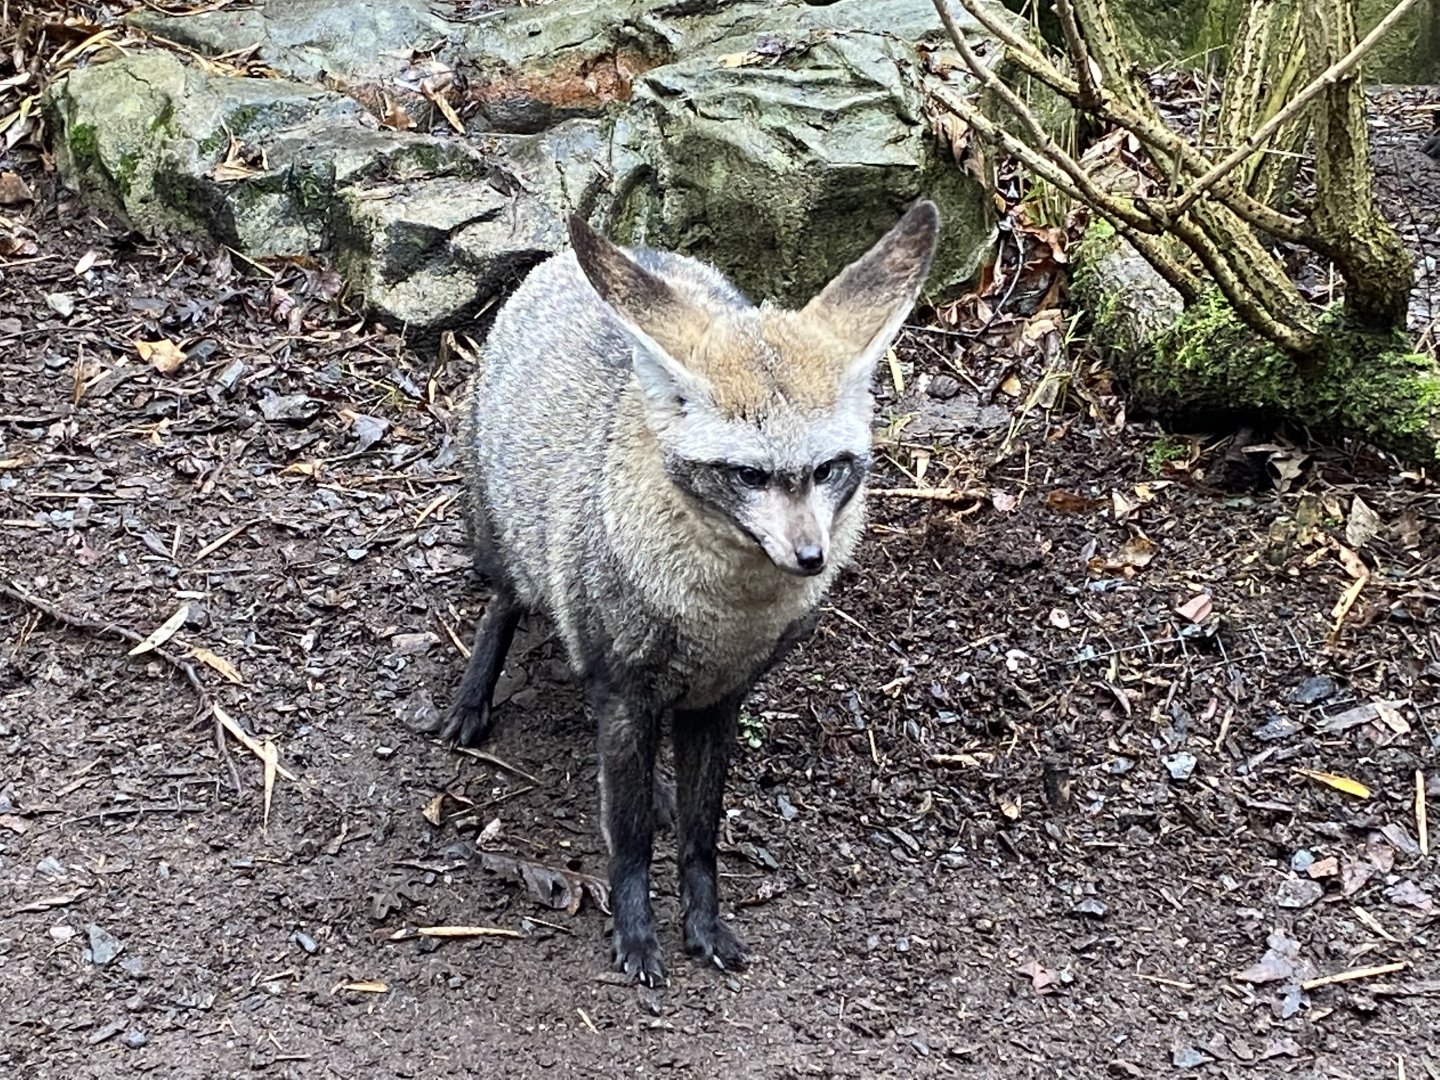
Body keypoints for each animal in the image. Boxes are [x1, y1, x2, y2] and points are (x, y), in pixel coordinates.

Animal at [439, 200, 941, 986]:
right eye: (749, 475)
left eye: (829, 469)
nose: (810, 557)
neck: (719, 622)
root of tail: (567, 259)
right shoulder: (626, 690)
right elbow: (630, 842)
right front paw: (636, 935)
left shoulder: (719, 699)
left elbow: (702, 837)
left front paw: (703, 924)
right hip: (505, 546)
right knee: (506, 602)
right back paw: (472, 697)